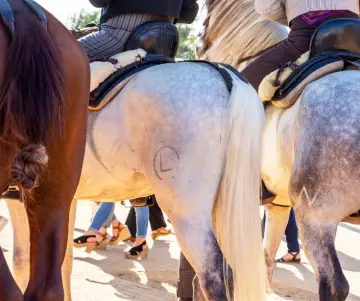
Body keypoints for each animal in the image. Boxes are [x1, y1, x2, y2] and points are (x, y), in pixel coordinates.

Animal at [198, 0, 360, 300]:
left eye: (206, 16)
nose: (200, 41)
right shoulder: (278, 206)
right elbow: (265, 261)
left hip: (316, 217)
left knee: (334, 284)